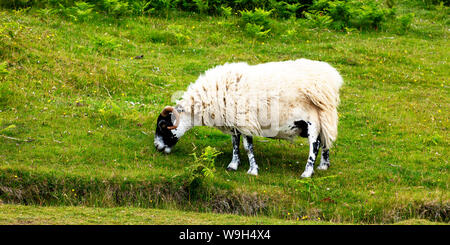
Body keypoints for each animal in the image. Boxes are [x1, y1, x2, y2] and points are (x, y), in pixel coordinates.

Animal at [153, 59, 342, 178]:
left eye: (162, 125)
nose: (156, 147)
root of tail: (331, 78)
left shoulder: (245, 121)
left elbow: (247, 147)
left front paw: (253, 170)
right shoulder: (234, 122)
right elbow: (235, 144)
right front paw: (233, 165)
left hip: (313, 119)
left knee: (315, 144)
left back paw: (307, 173)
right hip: (325, 117)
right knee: (325, 140)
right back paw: (324, 166)